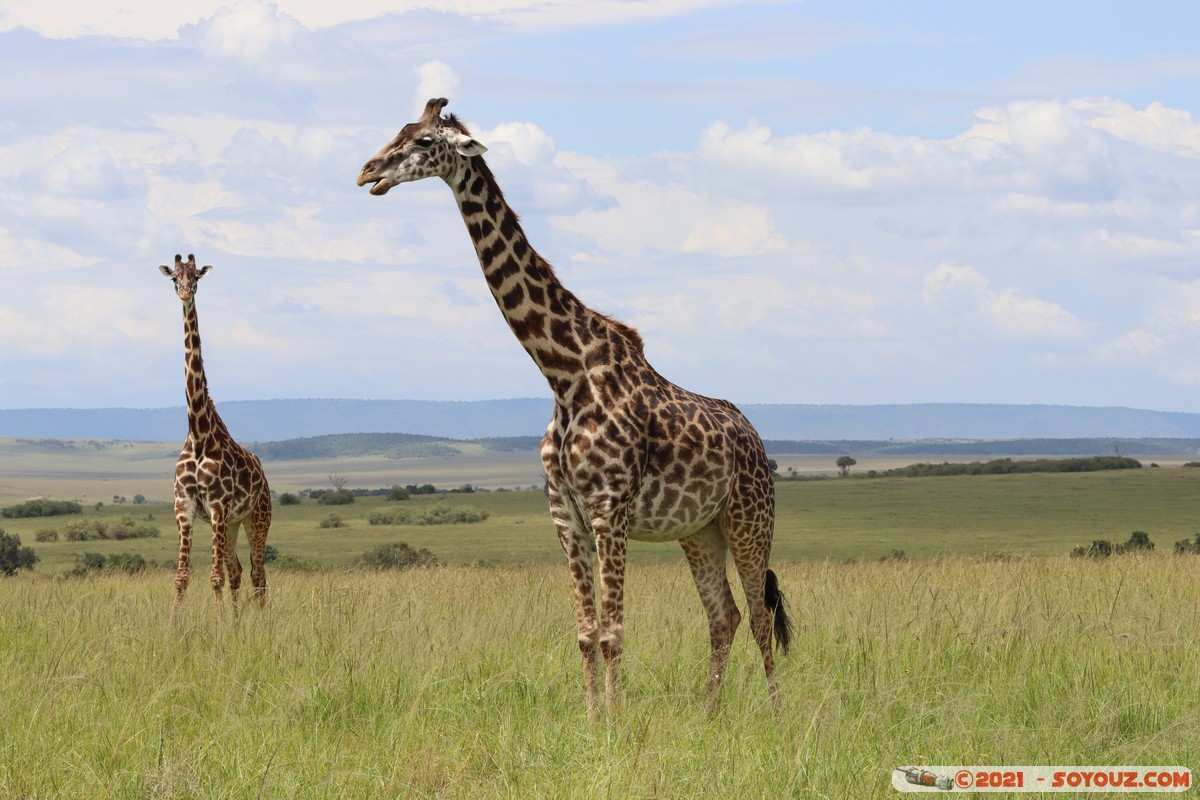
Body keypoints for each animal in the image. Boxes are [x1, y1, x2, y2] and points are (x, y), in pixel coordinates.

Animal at [158, 256, 271, 614]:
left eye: (195, 276)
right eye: (174, 278)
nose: (184, 292)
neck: (198, 434)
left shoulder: (218, 506)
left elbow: (214, 577)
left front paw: (219, 621)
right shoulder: (184, 506)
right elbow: (182, 576)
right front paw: (173, 621)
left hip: (257, 516)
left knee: (258, 572)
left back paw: (261, 619)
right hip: (233, 523)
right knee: (238, 569)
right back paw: (237, 619)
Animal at [352, 97, 787, 714]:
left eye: (423, 142)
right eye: (400, 129)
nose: (368, 172)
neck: (563, 374)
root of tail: (754, 436)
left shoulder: (610, 511)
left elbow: (614, 633)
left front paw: (618, 723)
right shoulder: (566, 514)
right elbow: (585, 633)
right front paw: (592, 719)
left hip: (750, 519)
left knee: (758, 614)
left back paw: (775, 714)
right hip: (699, 529)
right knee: (722, 615)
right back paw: (710, 715)